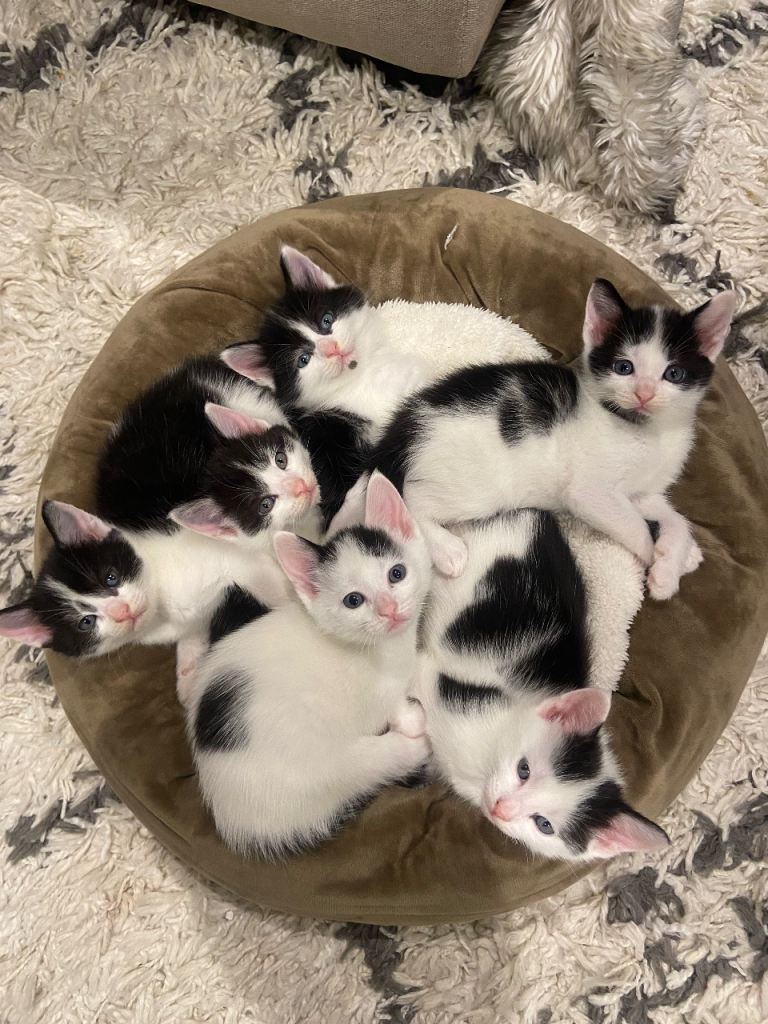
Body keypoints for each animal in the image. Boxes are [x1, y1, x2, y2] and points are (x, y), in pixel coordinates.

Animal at [0, 358, 320, 679]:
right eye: (86, 622)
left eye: (111, 576)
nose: (123, 611)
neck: (161, 602)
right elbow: (195, 633)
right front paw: (189, 669)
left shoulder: (232, 555)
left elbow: (266, 577)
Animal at [186, 472, 431, 856]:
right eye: (353, 601)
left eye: (397, 573)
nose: (389, 610)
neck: (376, 647)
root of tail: (233, 819)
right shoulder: (379, 692)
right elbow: (394, 705)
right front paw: (411, 717)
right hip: (319, 768)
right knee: (369, 764)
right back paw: (414, 749)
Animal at [373, 281, 736, 595]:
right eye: (624, 367)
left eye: (673, 373)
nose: (644, 394)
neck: (645, 430)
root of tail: (408, 420)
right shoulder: (591, 493)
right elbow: (634, 525)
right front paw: (657, 565)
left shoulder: (645, 492)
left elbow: (676, 518)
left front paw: (679, 557)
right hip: (474, 484)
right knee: (409, 497)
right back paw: (447, 550)